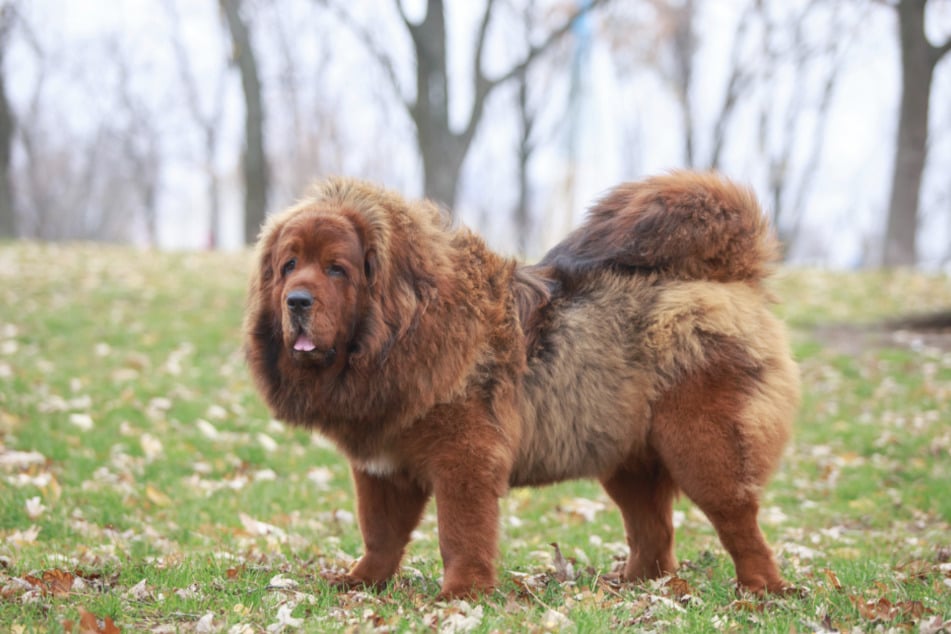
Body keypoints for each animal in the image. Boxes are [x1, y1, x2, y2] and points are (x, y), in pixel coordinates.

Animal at [247, 170, 804, 596]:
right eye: (289, 265)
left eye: (337, 270)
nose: (297, 301)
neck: (402, 332)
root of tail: (730, 278)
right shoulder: (382, 467)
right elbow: (380, 534)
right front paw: (360, 583)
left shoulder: (464, 458)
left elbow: (460, 532)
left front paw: (461, 594)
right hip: (627, 459)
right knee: (655, 534)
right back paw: (633, 586)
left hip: (703, 448)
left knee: (738, 522)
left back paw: (761, 591)